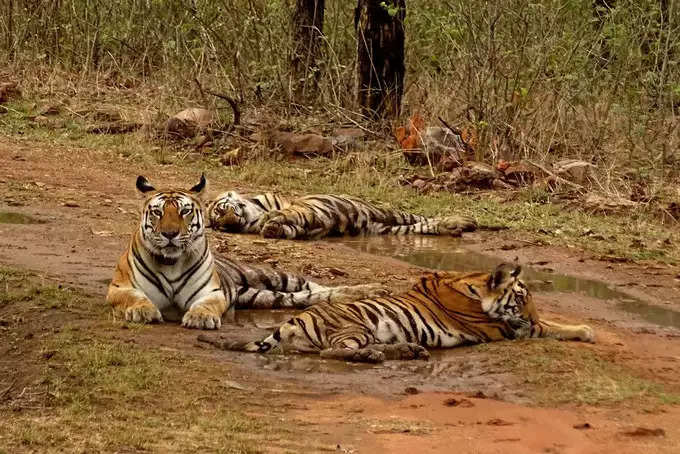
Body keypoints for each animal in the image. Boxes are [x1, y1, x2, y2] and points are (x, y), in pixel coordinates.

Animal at [105, 175, 382, 330]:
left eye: (184, 211)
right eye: (157, 212)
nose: (170, 234)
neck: (172, 262)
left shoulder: (212, 292)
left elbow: (206, 305)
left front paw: (200, 318)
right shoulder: (118, 288)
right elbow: (135, 297)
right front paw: (143, 311)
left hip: (273, 276)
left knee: (315, 287)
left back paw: (369, 290)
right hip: (262, 296)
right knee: (303, 297)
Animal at [198, 262, 596, 362]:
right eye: (522, 297)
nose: (531, 314)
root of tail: (294, 319)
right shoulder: (501, 328)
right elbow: (547, 328)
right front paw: (585, 330)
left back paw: (408, 350)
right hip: (355, 325)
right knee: (334, 352)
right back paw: (379, 355)